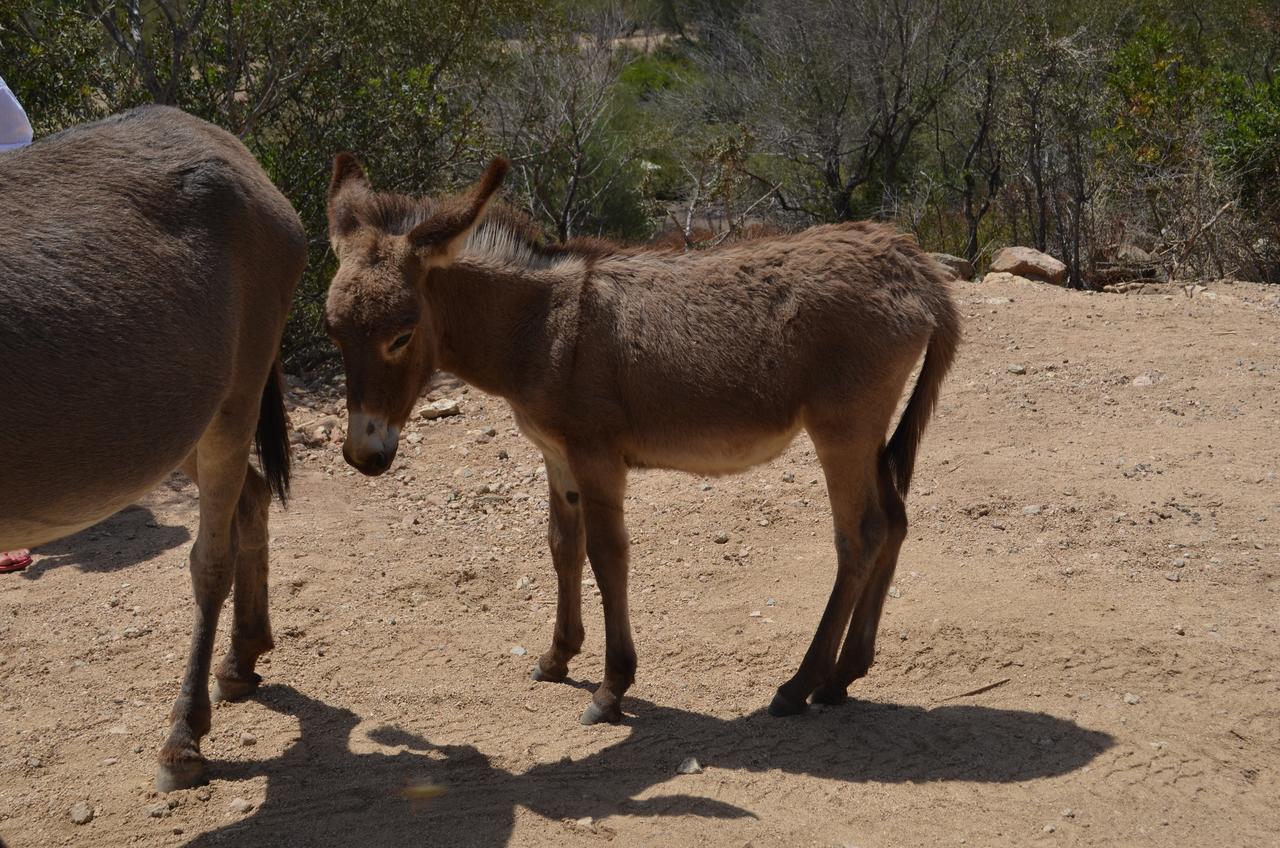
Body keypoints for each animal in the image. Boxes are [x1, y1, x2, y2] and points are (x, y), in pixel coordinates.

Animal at [0, 106, 304, 789]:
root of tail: (223, 139)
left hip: (234, 396)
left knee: (210, 558)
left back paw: (184, 735)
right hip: (181, 421)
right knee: (250, 496)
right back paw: (242, 659)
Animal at [325, 157, 957, 722]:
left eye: (401, 335)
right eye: (332, 331)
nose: (362, 455)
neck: (538, 328)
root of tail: (911, 262)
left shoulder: (596, 458)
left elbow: (608, 556)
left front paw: (611, 688)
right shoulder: (556, 457)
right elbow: (562, 546)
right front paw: (557, 657)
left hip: (843, 431)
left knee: (860, 536)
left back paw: (799, 685)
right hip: (868, 436)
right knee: (894, 522)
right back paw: (844, 675)